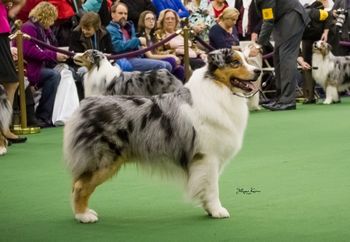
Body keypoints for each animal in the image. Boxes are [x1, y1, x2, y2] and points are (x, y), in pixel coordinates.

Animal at [63, 47, 260, 223]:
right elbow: (212, 187)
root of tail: (85, 105)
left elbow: (206, 187)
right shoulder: (207, 157)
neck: (218, 89)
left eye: (245, 60)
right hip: (104, 161)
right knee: (79, 186)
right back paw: (84, 216)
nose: (258, 71)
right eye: (235, 63)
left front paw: (209, 210)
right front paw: (218, 211)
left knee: (75, 184)